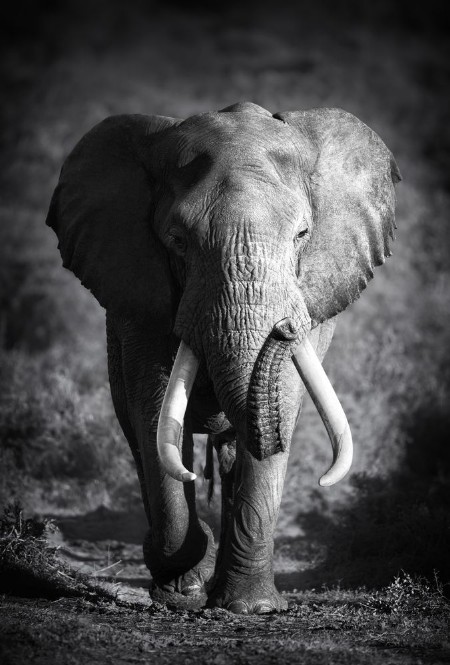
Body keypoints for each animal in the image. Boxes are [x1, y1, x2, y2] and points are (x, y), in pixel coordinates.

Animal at [46, 101, 401, 614]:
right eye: (177, 240)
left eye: (302, 234)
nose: (284, 328)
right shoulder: (139, 296)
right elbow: (153, 410)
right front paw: (182, 590)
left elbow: (283, 402)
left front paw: (252, 608)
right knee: (138, 434)